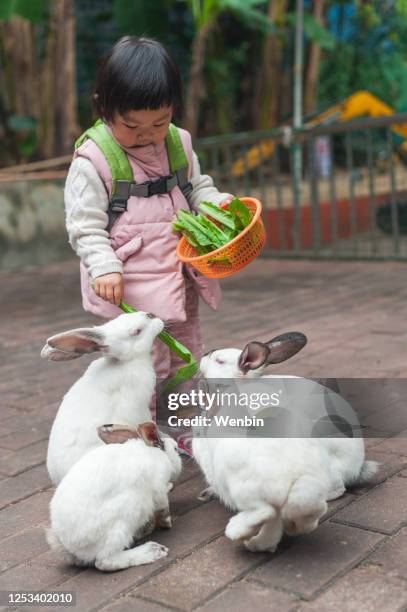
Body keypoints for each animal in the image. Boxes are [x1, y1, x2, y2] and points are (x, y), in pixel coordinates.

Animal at [47, 424, 182, 572]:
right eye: (175, 449)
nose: (178, 451)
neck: (150, 451)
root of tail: (68, 546)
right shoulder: (158, 490)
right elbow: (163, 508)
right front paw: (167, 523)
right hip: (124, 518)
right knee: (104, 561)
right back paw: (153, 550)